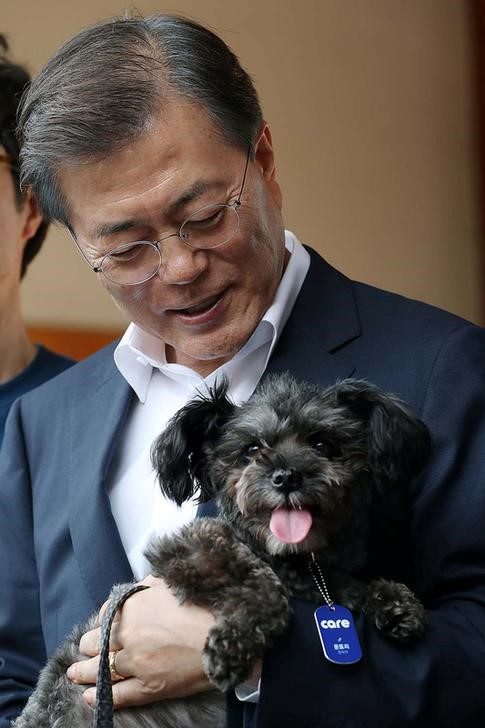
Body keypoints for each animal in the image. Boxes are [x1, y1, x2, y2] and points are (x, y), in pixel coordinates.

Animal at [15, 376, 430, 728]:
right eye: (252, 449)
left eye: (323, 444)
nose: (286, 476)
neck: (295, 559)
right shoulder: (186, 549)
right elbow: (263, 585)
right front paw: (232, 648)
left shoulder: (327, 580)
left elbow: (353, 587)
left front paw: (396, 603)